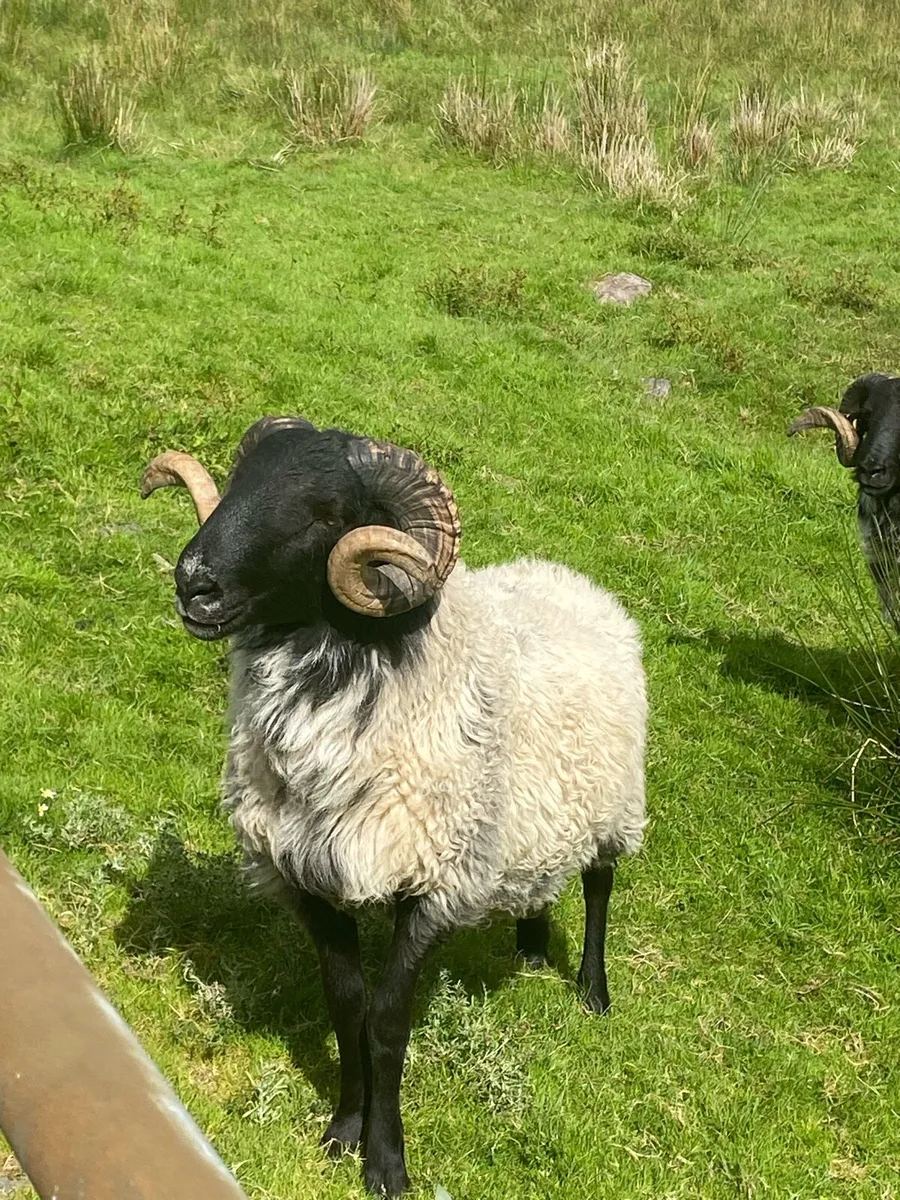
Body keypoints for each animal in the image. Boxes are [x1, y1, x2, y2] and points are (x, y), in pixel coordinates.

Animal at [142, 416, 647, 1197]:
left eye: (325, 514)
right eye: (236, 483)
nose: (195, 584)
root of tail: (568, 576)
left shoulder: (435, 885)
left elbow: (386, 1023)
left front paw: (386, 1161)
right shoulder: (306, 873)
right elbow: (345, 1005)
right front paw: (343, 1129)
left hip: (614, 803)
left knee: (598, 885)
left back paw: (592, 989)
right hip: (531, 821)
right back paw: (531, 946)